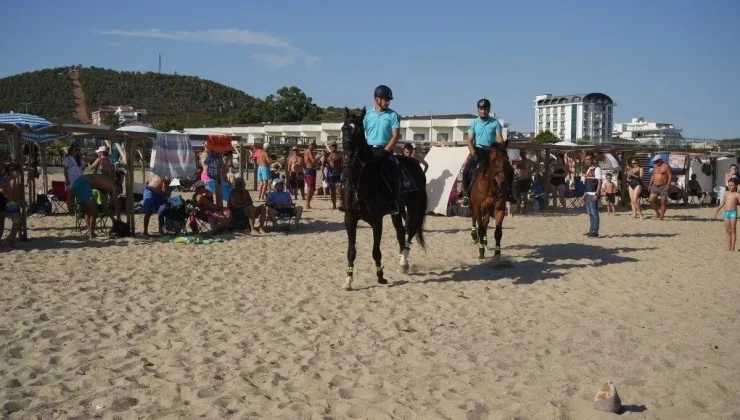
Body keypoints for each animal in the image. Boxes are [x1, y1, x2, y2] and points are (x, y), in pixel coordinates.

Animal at [342, 106, 428, 290]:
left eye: (359, 130)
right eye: (343, 128)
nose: (347, 157)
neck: (361, 183)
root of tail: (415, 164)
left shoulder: (376, 221)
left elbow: (376, 251)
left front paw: (380, 276)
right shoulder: (350, 219)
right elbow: (351, 251)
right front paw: (348, 280)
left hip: (414, 206)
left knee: (410, 230)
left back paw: (404, 261)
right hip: (398, 210)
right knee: (401, 232)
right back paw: (403, 263)